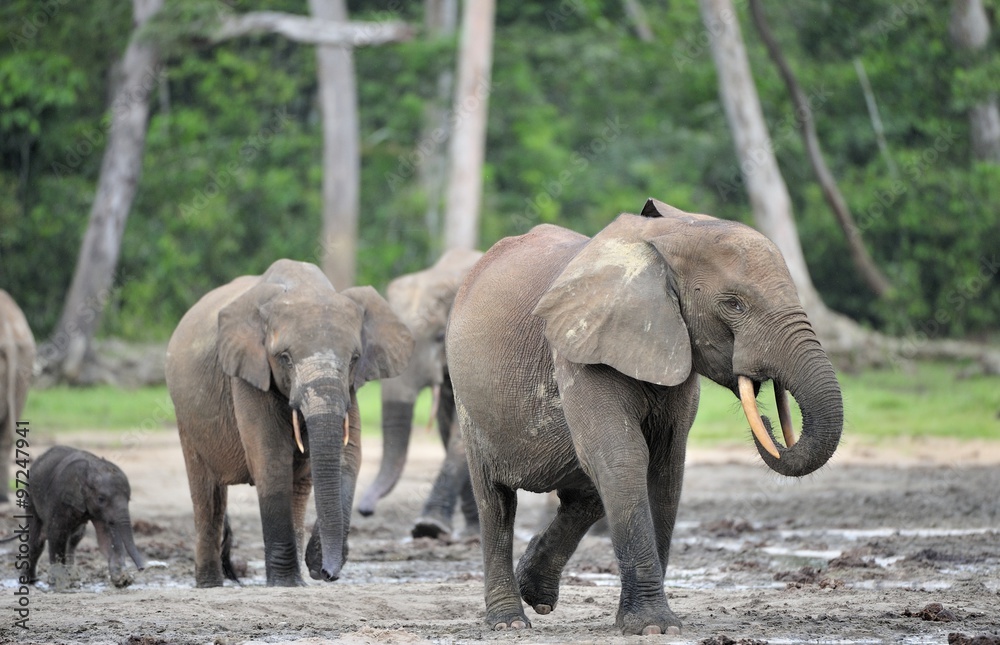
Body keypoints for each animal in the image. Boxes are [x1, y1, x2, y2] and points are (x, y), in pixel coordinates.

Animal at [18, 445, 145, 589]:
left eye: (129, 499)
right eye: (101, 499)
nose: (141, 569)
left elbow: (106, 537)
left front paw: (122, 579)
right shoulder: (59, 498)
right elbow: (56, 534)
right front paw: (60, 583)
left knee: (75, 537)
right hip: (30, 495)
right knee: (37, 540)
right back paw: (30, 581)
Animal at [166, 259, 413, 587]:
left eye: (354, 359)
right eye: (285, 358)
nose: (327, 573)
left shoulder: (350, 389)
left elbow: (349, 458)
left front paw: (313, 565)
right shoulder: (248, 374)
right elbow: (271, 459)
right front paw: (285, 583)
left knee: (298, 488)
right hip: (186, 416)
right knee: (207, 495)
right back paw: (211, 585)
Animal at [446, 199, 843, 635]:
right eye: (734, 304)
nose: (768, 420)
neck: (669, 237)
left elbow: (665, 469)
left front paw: (651, 623)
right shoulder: (581, 349)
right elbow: (623, 458)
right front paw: (654, 627)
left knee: (587, 492)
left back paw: (537, 593)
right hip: (467, 398)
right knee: (496, 502)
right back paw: (509, 622)